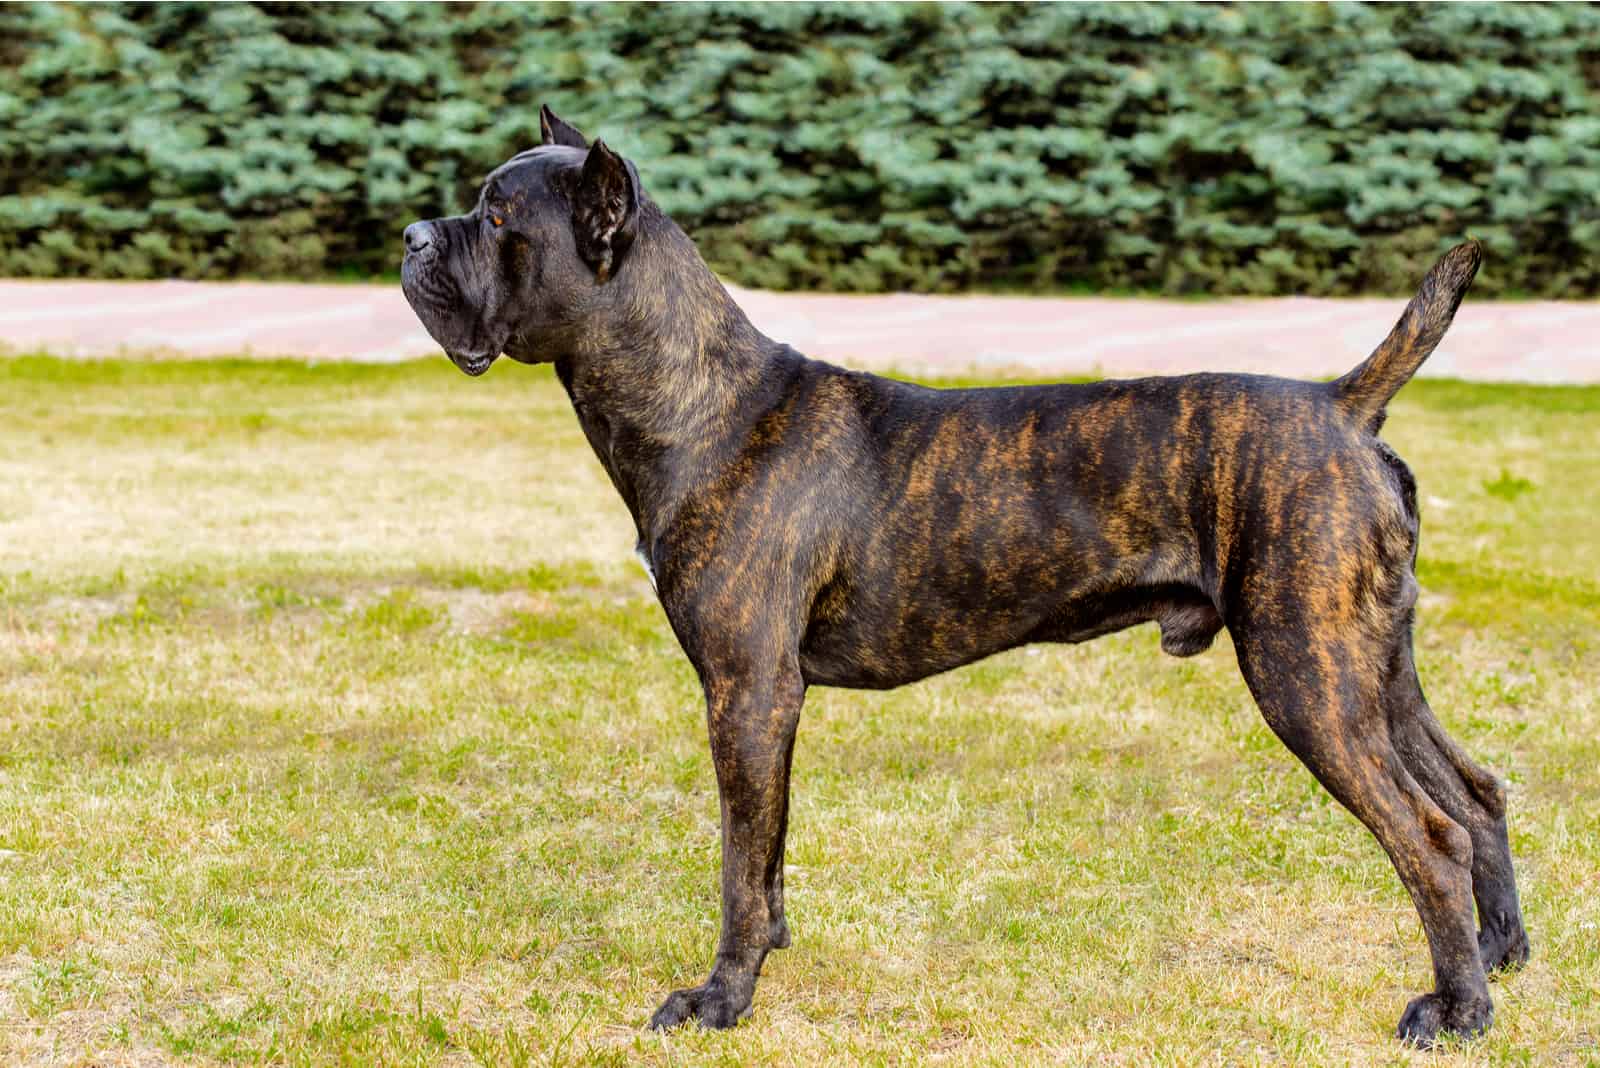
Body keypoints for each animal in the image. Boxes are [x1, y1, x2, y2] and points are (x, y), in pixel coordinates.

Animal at [396, 106, 1523, 1042]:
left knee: (1428, 834)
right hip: (1371, 668)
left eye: (497, 216)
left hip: (1306, 676)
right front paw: (769, 953)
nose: (413, 236)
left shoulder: (745, 692)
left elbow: (734, 863)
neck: (699, 400)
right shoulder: (767, 705)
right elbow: (766, 848)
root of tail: (1343, 405)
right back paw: (1500, 957)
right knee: (1473, 794)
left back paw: (1456, 1012)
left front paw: (720, 999)